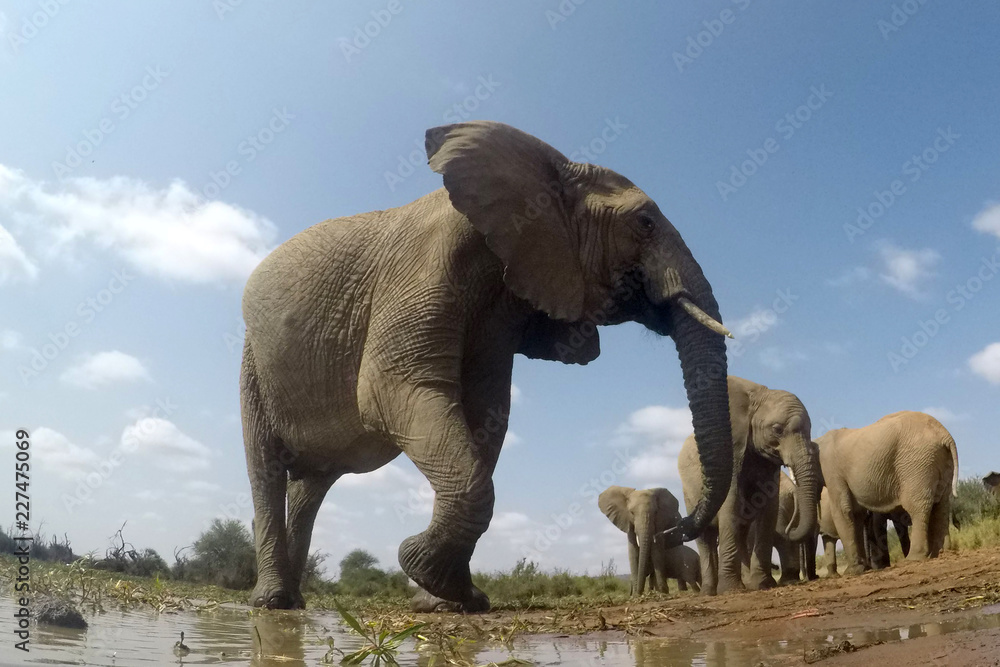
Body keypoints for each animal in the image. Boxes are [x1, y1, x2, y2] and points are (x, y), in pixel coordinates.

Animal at [239, 121, 736, 610]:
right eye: (645, 223)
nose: (677, 528)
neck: (547, 170)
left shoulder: (501, 306)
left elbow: (486, 416)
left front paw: (449, 599)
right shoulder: (422, 268)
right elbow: (391, 390)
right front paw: (423, 568)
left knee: (312, 485)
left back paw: (295, 599)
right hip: (252, 363)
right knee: (267, 470)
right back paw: (273, 601)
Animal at [678, 376, 820, 595]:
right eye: (777, 430)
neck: (757, 395)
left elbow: (768, 511)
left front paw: (764, 584)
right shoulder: (734, 450)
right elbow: (731, 505)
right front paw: (730, 591)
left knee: (742, 531)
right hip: (688, 492)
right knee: (706, 538)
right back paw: (709, 592)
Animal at [816, 410, 958, 576]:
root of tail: (945, 435)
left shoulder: (831, 469)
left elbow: (843, 510)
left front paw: (852, 572)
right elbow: (855, 514)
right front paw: (863, 568)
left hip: (917, 463)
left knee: (917, 507)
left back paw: (913, 558)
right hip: (937, 460)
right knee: (941, 505)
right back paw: (942, 553)